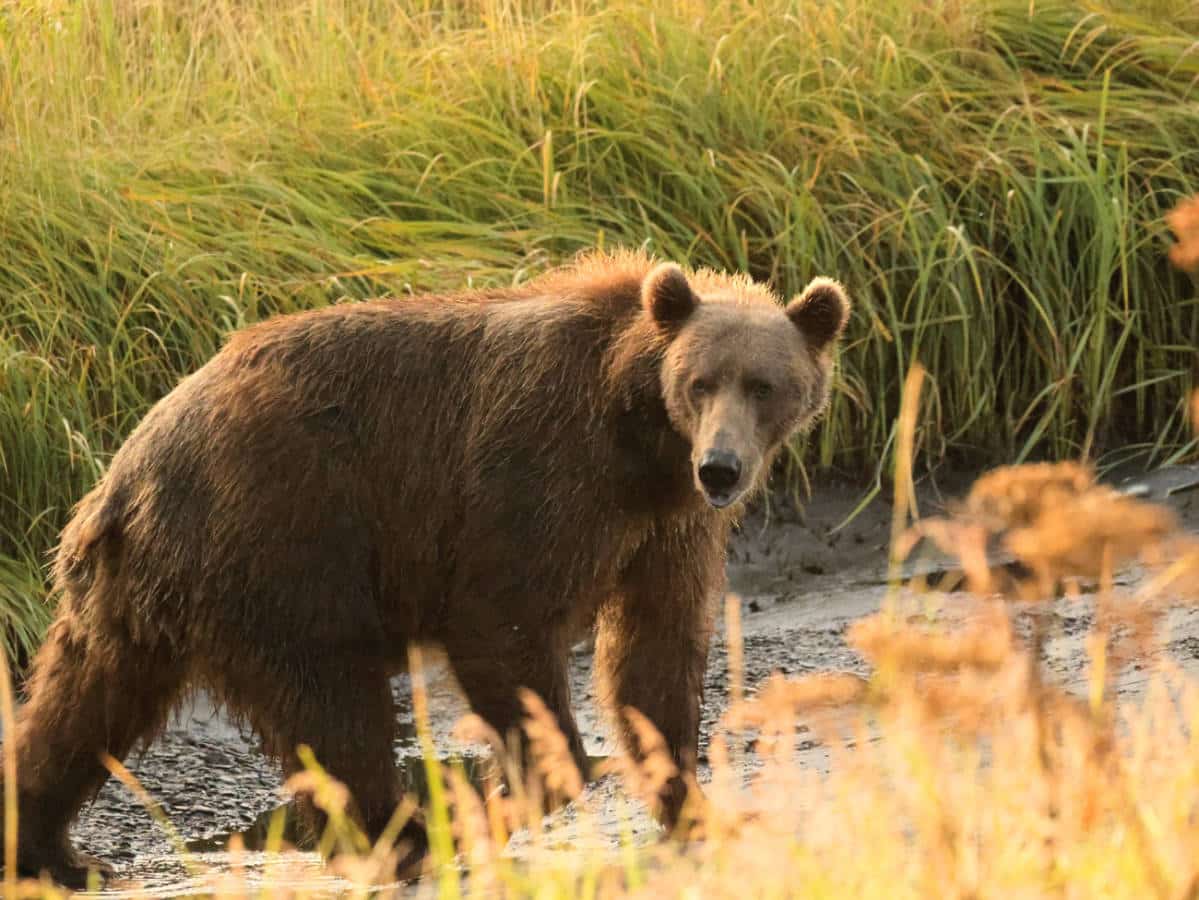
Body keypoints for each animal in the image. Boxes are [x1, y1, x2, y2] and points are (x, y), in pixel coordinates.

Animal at [3, 250, 850, 887]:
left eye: (764, 384)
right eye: (700, 382)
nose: (722, 467)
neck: (638, 435)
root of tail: (128, 471)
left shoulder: (663, 528)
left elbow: (654, 651)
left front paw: (692, 803)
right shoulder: (537, 474)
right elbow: (502, 621)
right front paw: (526, 785)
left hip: (131, 592)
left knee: (83, 705)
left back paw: (49, 848)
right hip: (285, 540)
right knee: (334, 703)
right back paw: (402, 835)